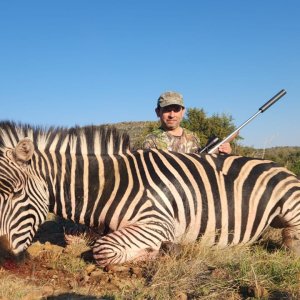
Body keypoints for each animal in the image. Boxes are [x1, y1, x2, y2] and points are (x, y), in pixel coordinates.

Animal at [0, 119, 298, 264]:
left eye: (16, 193)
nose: (3, 255)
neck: (112, 185)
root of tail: (278, 165)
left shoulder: (157, 223)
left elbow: (103, 250)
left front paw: (164, 251)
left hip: (289, 205)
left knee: (291, 237)